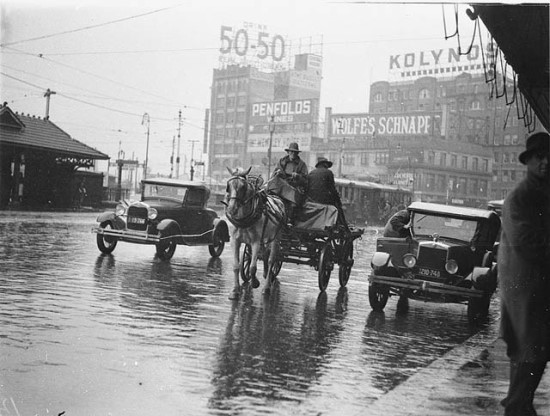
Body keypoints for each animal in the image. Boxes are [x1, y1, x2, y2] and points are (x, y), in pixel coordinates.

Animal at [224, 166, 286, 300]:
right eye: (228, 186)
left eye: (243, 187)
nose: (231, 208)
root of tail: (278, 200)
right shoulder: (234, 240)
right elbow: (236, 266)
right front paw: (235, 290)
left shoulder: (255, 241)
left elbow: (252, 267)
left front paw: (255, 282)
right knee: (265, 254)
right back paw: (265, 273)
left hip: (276, 237)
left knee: (271, 259)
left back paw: (267, 287)